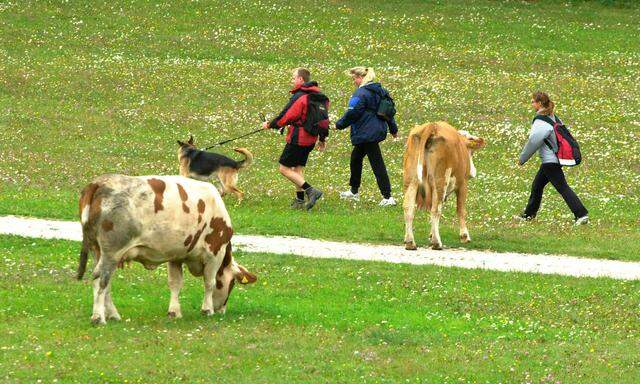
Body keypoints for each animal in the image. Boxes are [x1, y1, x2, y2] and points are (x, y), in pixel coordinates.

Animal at [79, 174, 258, 324]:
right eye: (232, 283)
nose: (221, 310)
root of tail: (99, 182)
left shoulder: (175, 256)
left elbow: (175, 283)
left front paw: (174, 311)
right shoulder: (215, 253)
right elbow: (210, 282)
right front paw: (207, 309)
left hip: (98, 250)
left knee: (103, 282)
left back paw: (112, 314)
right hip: (112, 252)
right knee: (101, 280)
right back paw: (98, 317)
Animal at [402, 121, 488, 250]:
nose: (473, 172)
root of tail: (432, 126)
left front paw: (431, 234)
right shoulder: (463, 184)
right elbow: (461, 210)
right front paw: (464, 236)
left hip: (411, 179)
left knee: (409, 207)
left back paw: (410, 242)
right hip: (440, 180)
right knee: (435, 209)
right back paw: (437, 243)